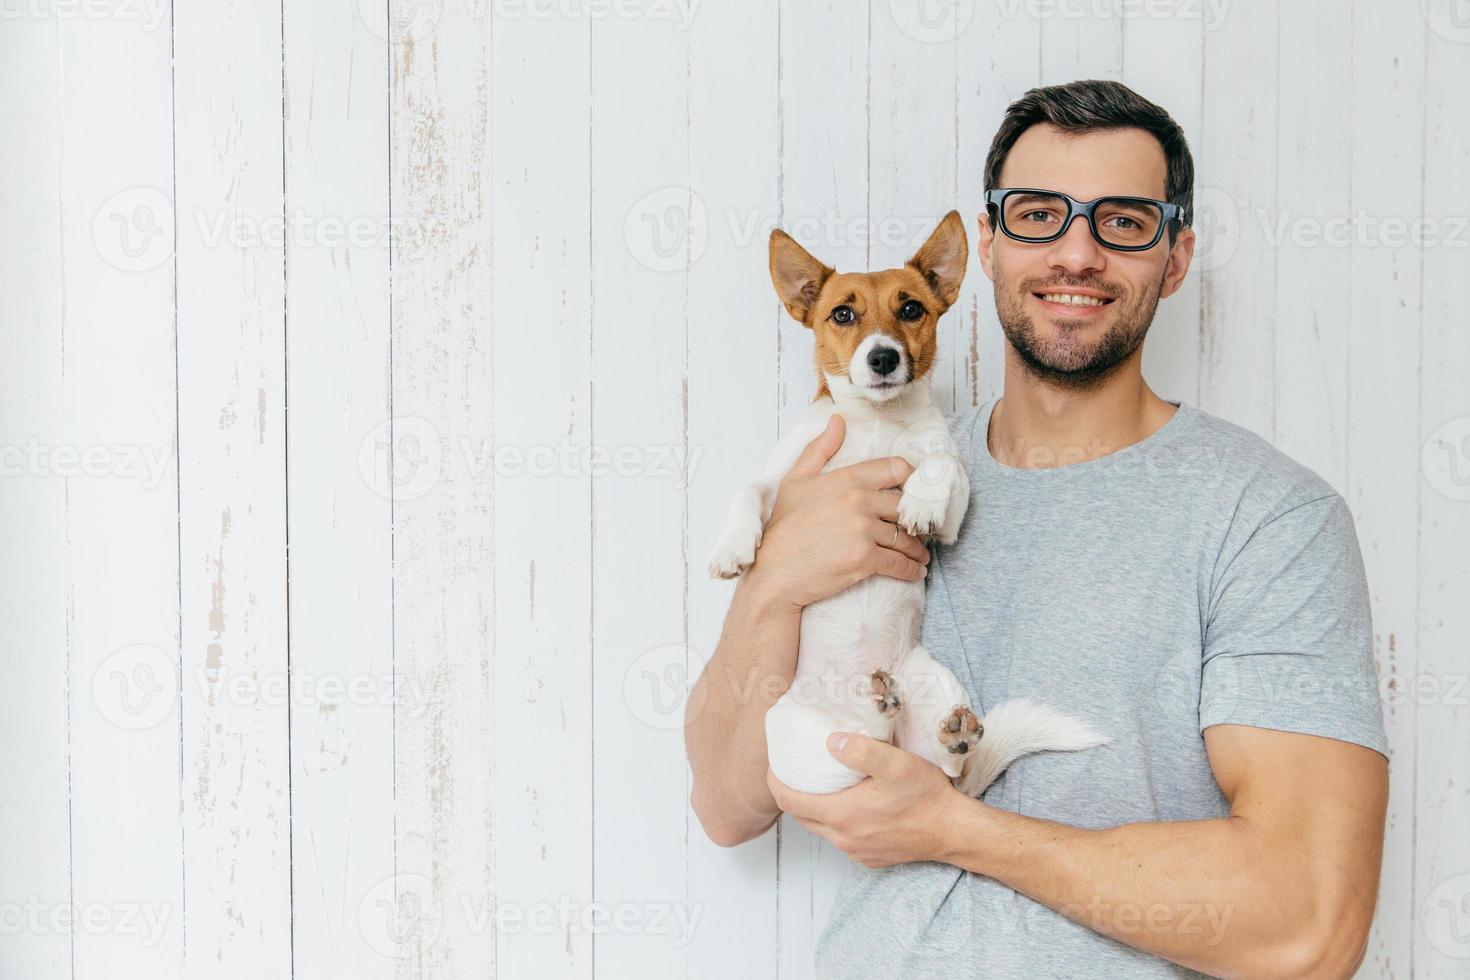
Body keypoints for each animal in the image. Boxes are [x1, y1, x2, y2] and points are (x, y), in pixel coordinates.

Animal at [708, 213, 1105, 799]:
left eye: (912, 309)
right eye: (842, 313)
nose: (883, 357)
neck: (877, 421)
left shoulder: (950, 516)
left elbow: (943, 463)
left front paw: (917, 501)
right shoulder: (785, 477)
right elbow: (747, 490)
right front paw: (732, 549)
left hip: (933, 680)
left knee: (933, 765)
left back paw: (945, 735)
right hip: (794, 736)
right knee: (859, 753)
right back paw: (875, 712)